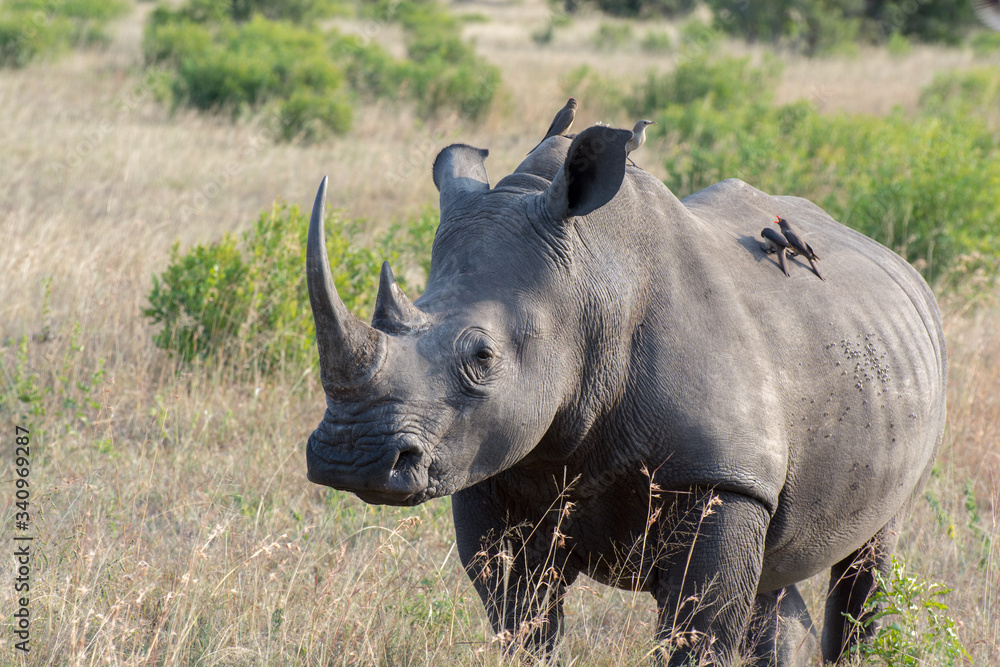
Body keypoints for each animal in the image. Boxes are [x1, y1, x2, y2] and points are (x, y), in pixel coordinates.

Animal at [304, 126, 946, 665]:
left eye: (482, 357)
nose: (350, 458)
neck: (592, 286)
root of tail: (900, 267)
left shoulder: (722, 478)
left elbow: (696, 632)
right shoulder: (490, 470)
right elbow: (522, 621)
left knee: (866, 564)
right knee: (773, 578)